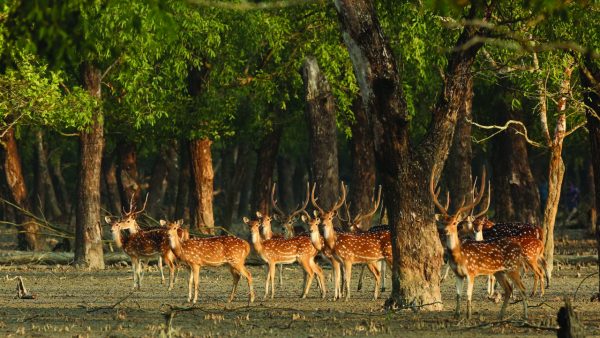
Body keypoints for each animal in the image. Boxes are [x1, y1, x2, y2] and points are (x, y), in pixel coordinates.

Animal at [432, 168, 528, 320]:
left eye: (454, 222)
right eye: (443, 221)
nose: (444, 230)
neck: (459, 256)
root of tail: (518, 248)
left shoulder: (471, 272)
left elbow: (468, 295)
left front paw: (468, 315)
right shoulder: (458, 274)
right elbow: (458, 295)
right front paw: (457, 315)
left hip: (513, 268)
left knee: (523, 289)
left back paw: (525, 316)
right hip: (499, 271)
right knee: (508, 289)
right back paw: (500, 315)